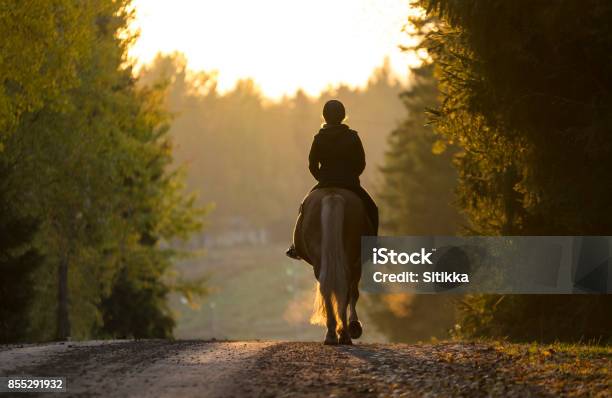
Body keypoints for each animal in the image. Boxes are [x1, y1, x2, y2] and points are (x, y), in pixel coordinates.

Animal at [292, 188, 372, 344]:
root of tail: (332, 195)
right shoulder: (357, 263)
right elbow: (354, 294)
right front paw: (354, 326)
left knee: (327, 288)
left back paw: (333, 334)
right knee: (345, 289)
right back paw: (343, 334)